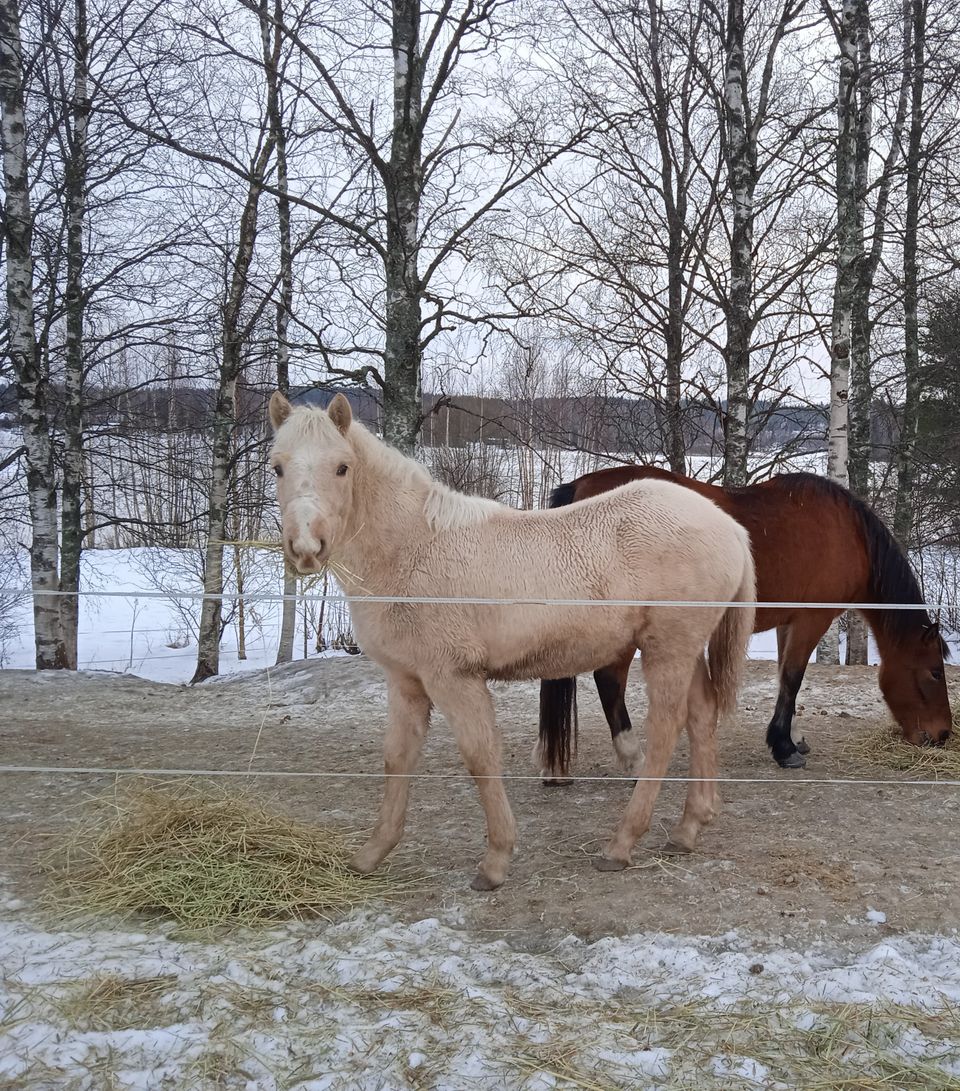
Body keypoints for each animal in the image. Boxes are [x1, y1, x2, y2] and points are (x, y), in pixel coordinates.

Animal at [268, 392, 759, 885]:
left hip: (668, 650)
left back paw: (622, 843)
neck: (414, 549)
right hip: (684, 650)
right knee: (702, 716)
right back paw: (689, 826)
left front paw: (496, 859)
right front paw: (373, 853)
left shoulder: (454, 678)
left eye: (342, 467)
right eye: (277, 467)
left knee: (665, 730)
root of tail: (730, 527)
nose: (306, 548)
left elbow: (480, 758)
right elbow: (398, 758)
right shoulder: (406, 681)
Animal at [536, 464, 946, 781]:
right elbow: (793, 678)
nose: (942, 736)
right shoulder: (812, 619)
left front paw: (793, 736)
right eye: (935, 672)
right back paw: (634, 760)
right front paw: (783, 747)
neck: (849, 534)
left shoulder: (789, 621)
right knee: (609, 681)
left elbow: (785, 678)